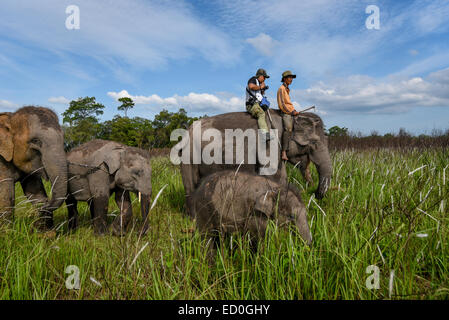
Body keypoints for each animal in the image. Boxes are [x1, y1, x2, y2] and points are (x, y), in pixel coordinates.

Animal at [177, 110, 330, 218]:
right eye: (315, 143)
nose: (315, 194)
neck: (289, 117)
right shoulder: (270, 144)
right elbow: (274, 177)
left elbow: (282, 178)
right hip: (189, 154)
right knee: (190, 186)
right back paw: (193, 219)